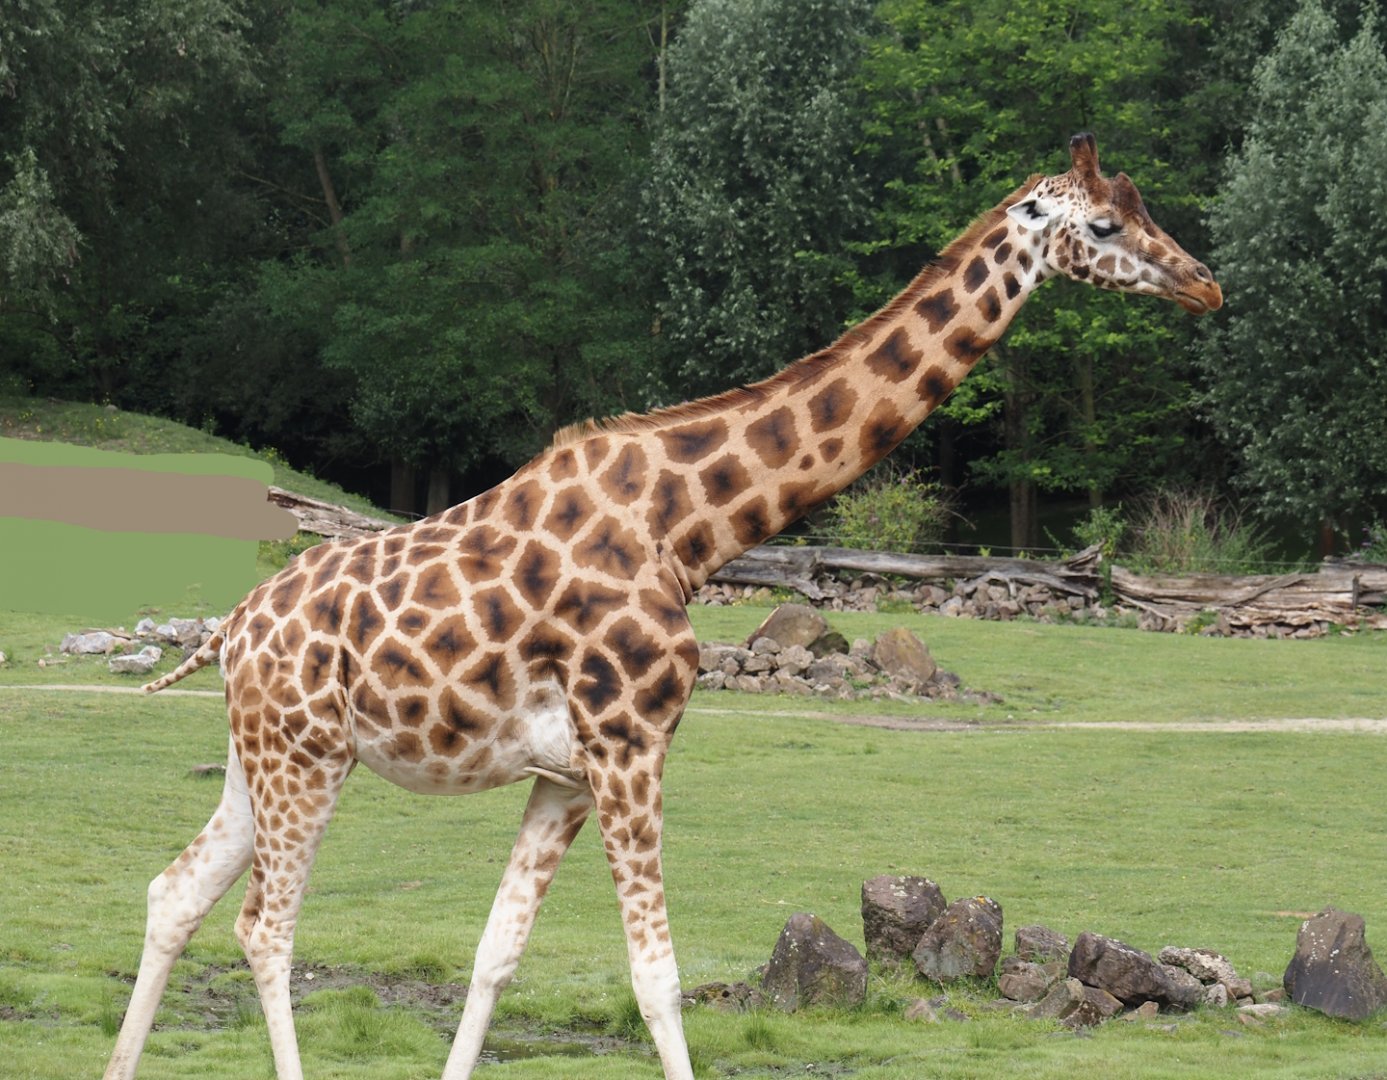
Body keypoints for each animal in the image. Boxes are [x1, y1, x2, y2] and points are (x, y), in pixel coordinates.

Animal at [104, 133, 1220, 1080]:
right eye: (1105, 225)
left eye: (1143, 205)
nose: (1204, 282)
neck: (690, 526)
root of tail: (232, 629)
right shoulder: (629, 744)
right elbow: (656, 978)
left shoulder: (565, 774)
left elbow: (496, 955)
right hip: (303, 757)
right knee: (264, 927)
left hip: (262, 755)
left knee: (174, 894)